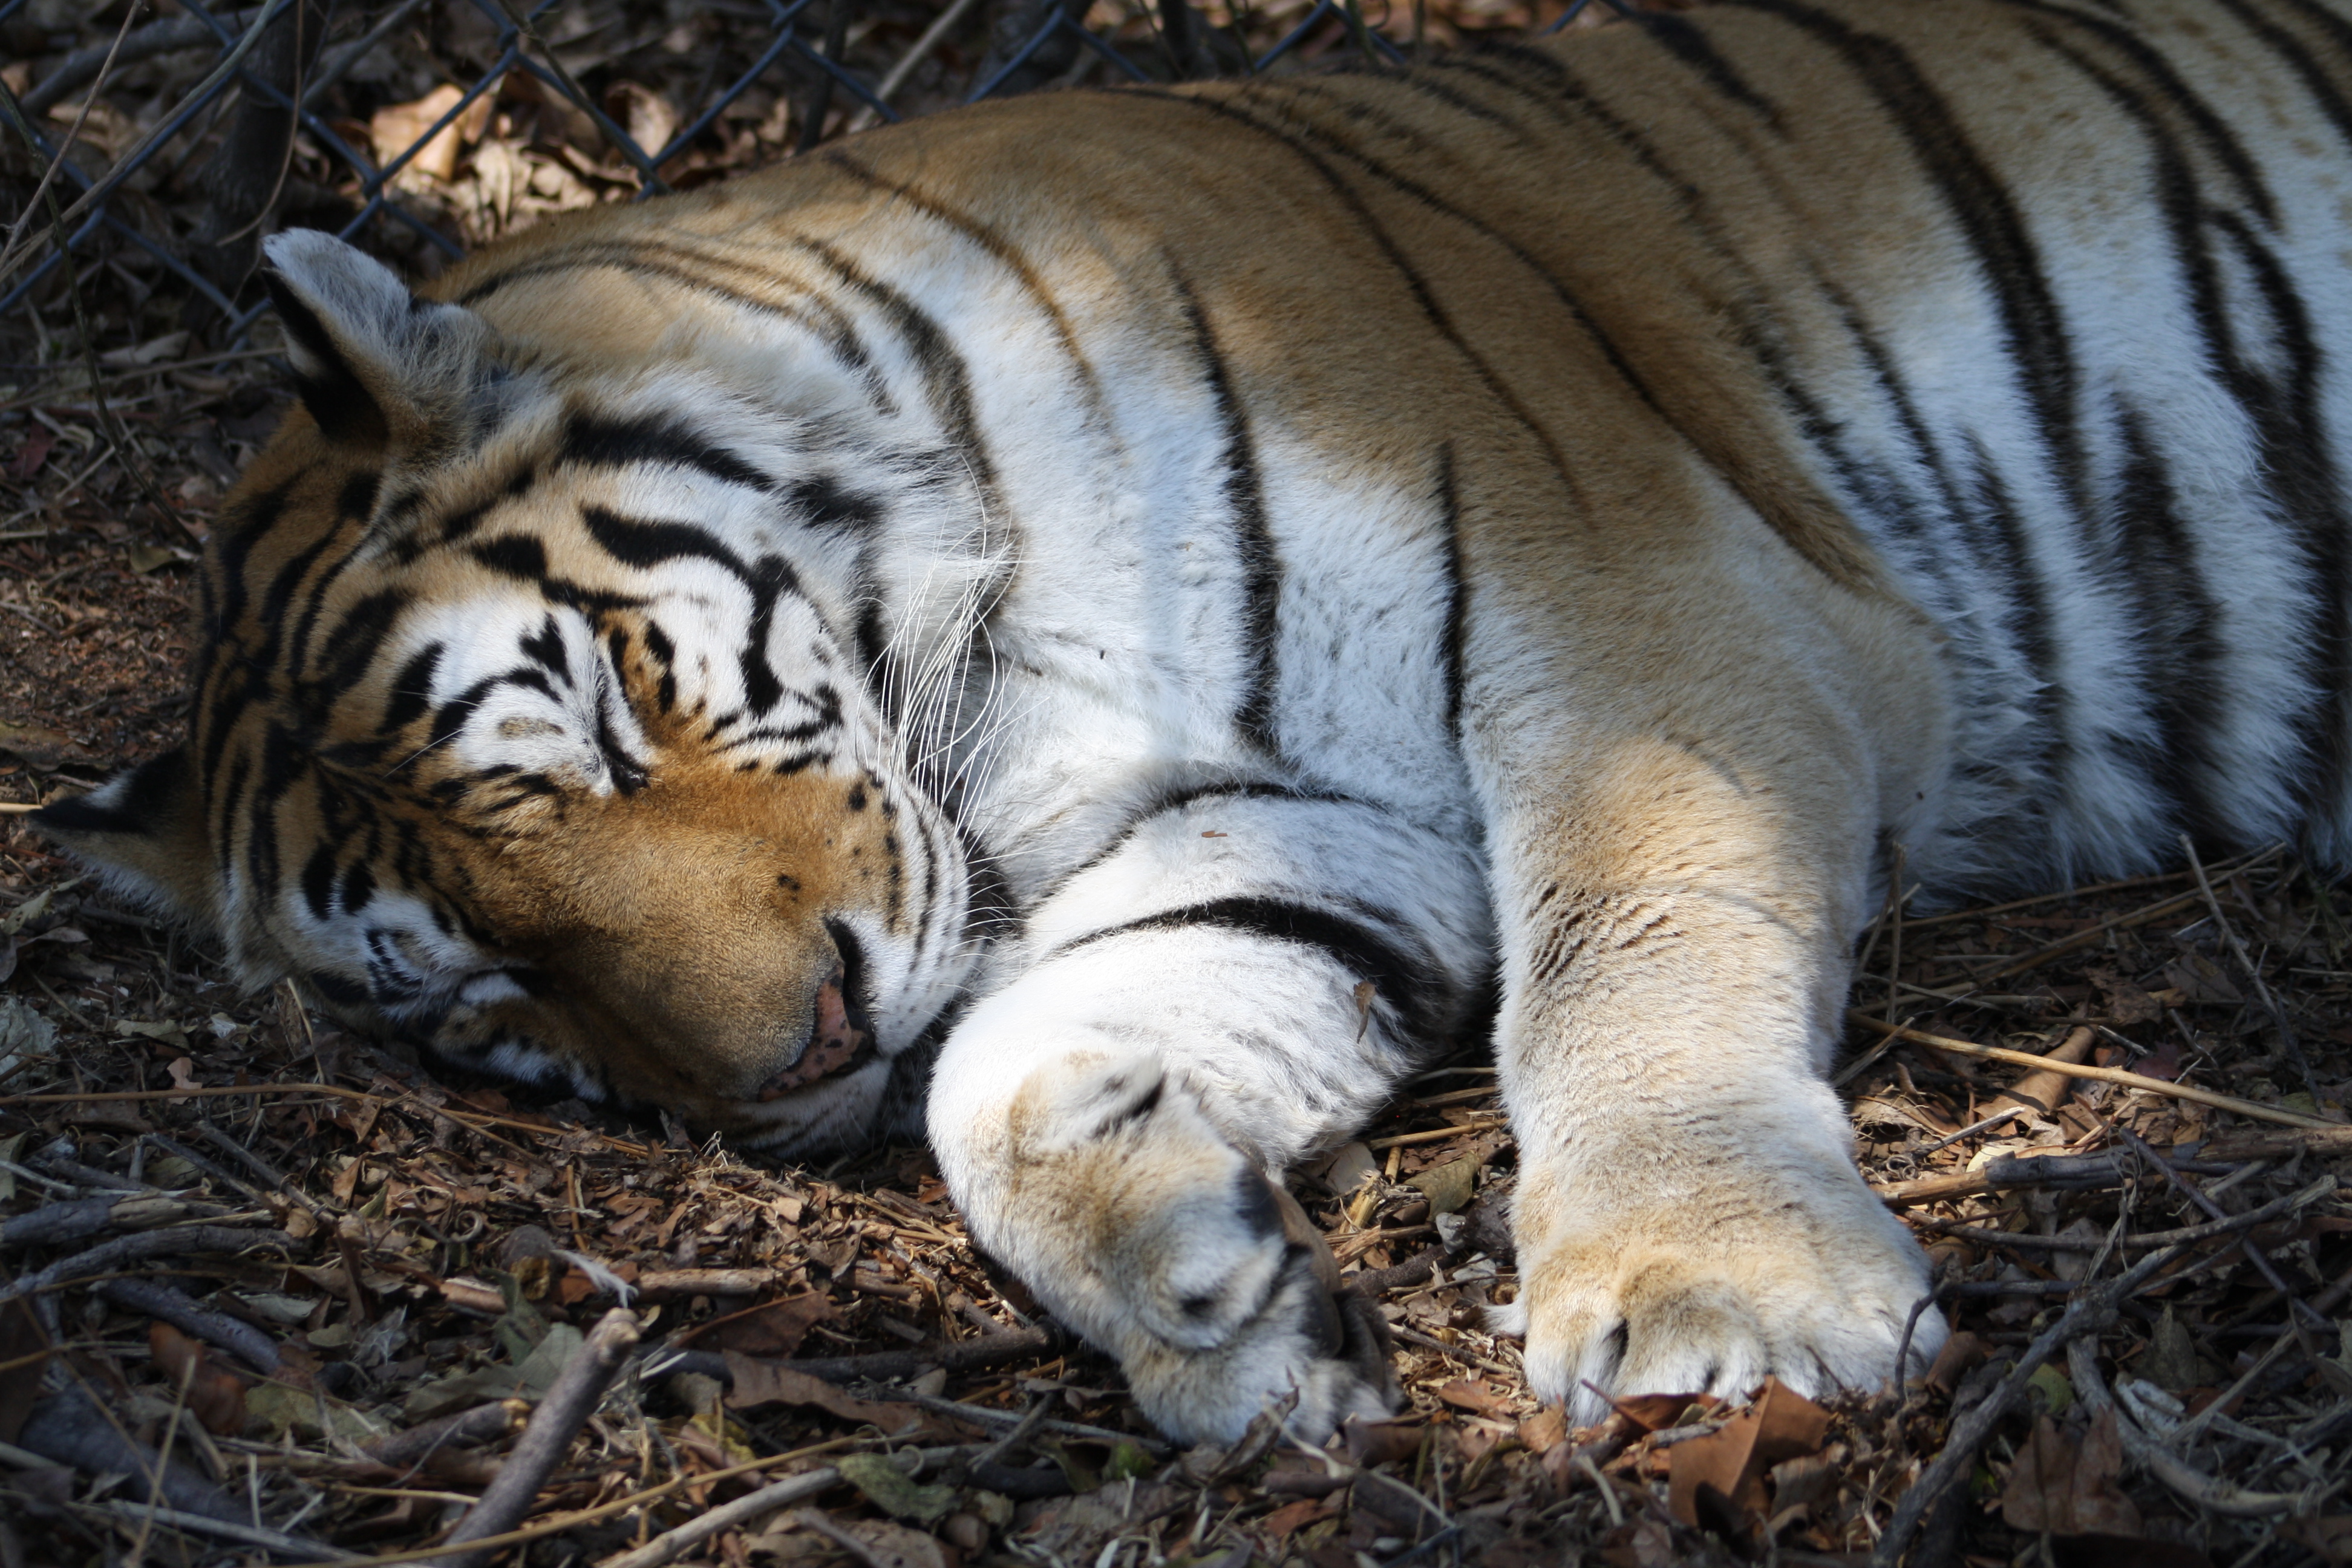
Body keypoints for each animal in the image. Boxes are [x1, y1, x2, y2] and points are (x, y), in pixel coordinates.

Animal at [32, 0, 2352, 1448]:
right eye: (483, 993)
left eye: (602, 710)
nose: (799, 1051)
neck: (990, 686)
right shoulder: (1299, 826)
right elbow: (1011, 1078)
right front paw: (1221, 1309)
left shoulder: (1649, 602)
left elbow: (1633, 948)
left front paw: (1719, 1296)